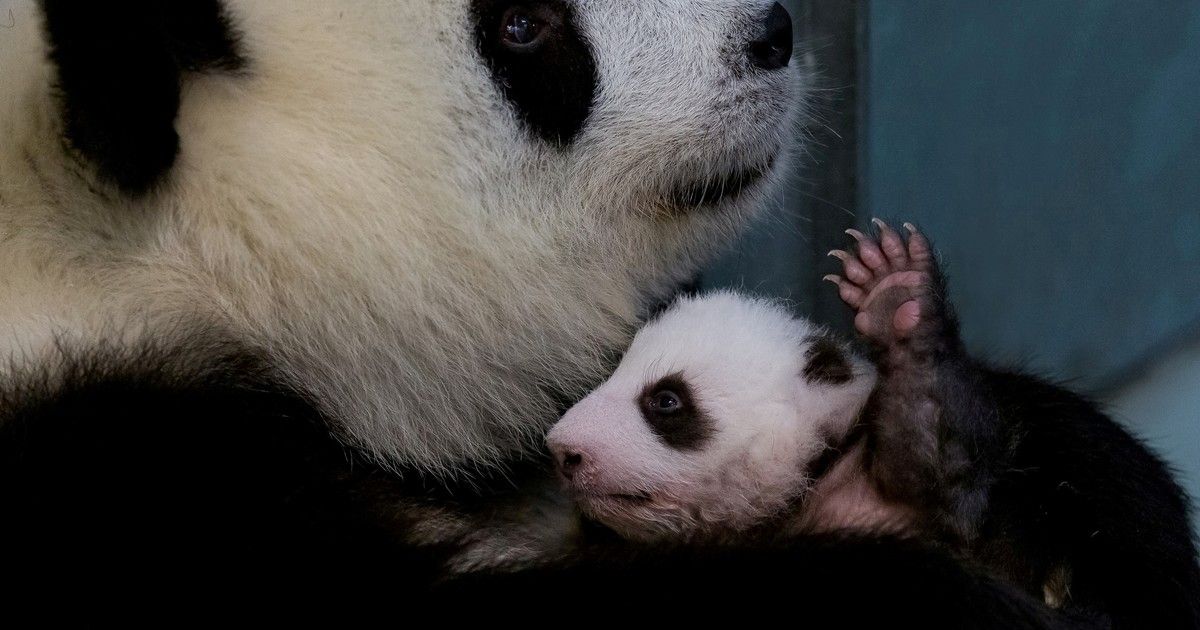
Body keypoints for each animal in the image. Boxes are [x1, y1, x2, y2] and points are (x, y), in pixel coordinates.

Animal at [544, 223, 1200, 628]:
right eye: (616, 369)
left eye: (666, 401)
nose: (563, 450)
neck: (816, 475)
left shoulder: (959, 505)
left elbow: (939, 455)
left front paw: (897, 296)